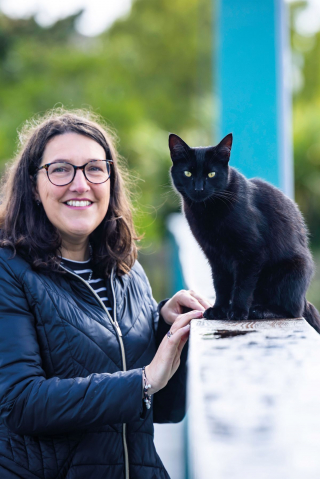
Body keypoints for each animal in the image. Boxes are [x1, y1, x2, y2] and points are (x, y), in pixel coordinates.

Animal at [169, 133, 318, 332]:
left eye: (211, 174)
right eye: (187, 173)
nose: (198, 188)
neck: (208, 212)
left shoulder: (251, 252)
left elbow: (243, 285)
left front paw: (238, 311)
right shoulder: (215, 256)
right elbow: (220, 284)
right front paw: (219, 309)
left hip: (294, 269)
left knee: (293, 310)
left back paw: (260, 310)